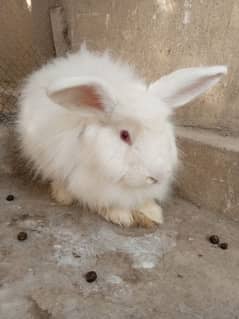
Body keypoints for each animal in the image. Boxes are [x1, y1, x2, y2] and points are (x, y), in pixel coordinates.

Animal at [16, 47, 226, 228]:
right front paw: (121, 216)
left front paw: (152, 214)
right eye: (125, 135)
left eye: (163, 129)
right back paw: (63, 195)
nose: (157, 176)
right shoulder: (90, 184)